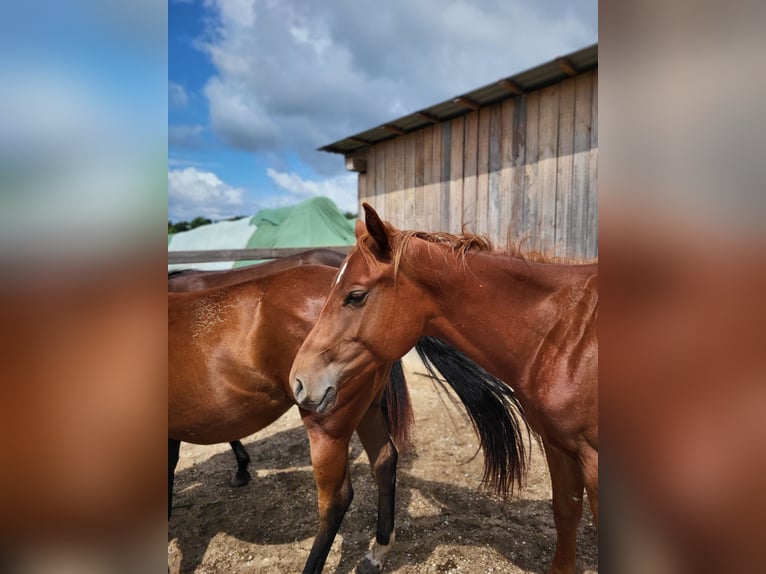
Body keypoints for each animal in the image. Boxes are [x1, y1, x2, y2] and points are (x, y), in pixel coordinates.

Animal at [290, 204, 598, 574]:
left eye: (356, 295)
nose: (299, 380)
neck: (564, 332)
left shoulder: (595, 461)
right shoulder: (560, 446)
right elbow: (566, 512)